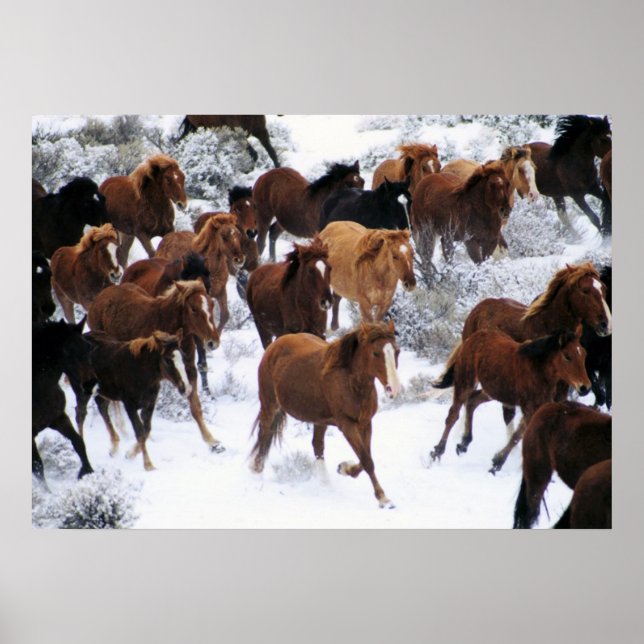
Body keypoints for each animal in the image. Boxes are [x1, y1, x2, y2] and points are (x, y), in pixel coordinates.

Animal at [32, 318, 95, 483]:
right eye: (66, 351)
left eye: (88, 347)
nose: (89, 383)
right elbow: (37, 466)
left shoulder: (58, 418)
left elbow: (78, 442)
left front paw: (87, 472)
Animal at [81, 330, 191, 470]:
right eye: (167, 360)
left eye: (184, 357)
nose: (187, 388)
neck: (144, 375)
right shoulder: (129, 405)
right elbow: (139, 431)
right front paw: (148, 464)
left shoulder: (150, 403)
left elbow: (146, 429)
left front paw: (130, 453)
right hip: (83, 390)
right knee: (80, 414)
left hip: (102, 392)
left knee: (102, 408)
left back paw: (114, 447)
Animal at [87, 280, 225, 452]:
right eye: (193, 308)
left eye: (212, 304)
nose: (213, 342)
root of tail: (98, 298)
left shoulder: (188, 369)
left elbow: (195, 407)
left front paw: (212, 441)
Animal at [250, 321, 402, 508]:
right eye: (376, 353)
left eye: (397, 351)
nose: (393, 389)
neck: (350, 382)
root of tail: (274, 345)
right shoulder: (347, 425)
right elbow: (367, 460)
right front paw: (383, 498)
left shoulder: (365, 423)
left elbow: (365, 458)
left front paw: (344, 468)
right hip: (269, 405)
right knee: (264, 435)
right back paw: (256, 470)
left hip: (318, 420)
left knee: (317, 446)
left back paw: (325, 484)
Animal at [430, 327, 591, 474]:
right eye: (567, 356)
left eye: (583, 354)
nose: (585, 387)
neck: (538, 371)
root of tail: (472, 337)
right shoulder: (529, 408)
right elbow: (518, 436)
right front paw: (497, 464)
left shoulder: (535, 407)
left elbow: (517, 436)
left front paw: (497, 462)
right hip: (465, 382)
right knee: (453, 414)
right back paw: (437, 451)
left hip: (493, 390)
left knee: (472, 401)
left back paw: (464, 443)